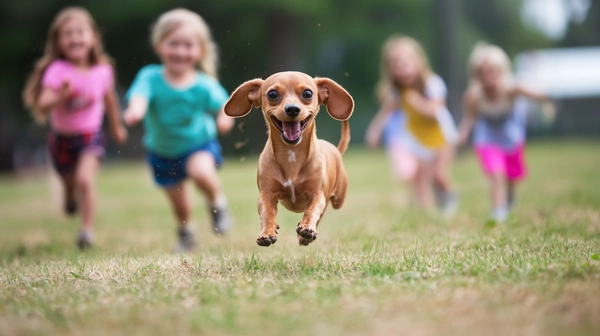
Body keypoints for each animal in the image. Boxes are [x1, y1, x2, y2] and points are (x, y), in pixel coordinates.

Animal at [226, 71, 356, 247]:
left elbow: (312, 210)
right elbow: (267, 213)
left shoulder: (317, 194)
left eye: (307, 93)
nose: (292, 109)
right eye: (272, 94)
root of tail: (335, 149)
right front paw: (267, 233)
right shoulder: (266, 194)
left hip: (339, 198)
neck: (292, 153)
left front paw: (307, 228)